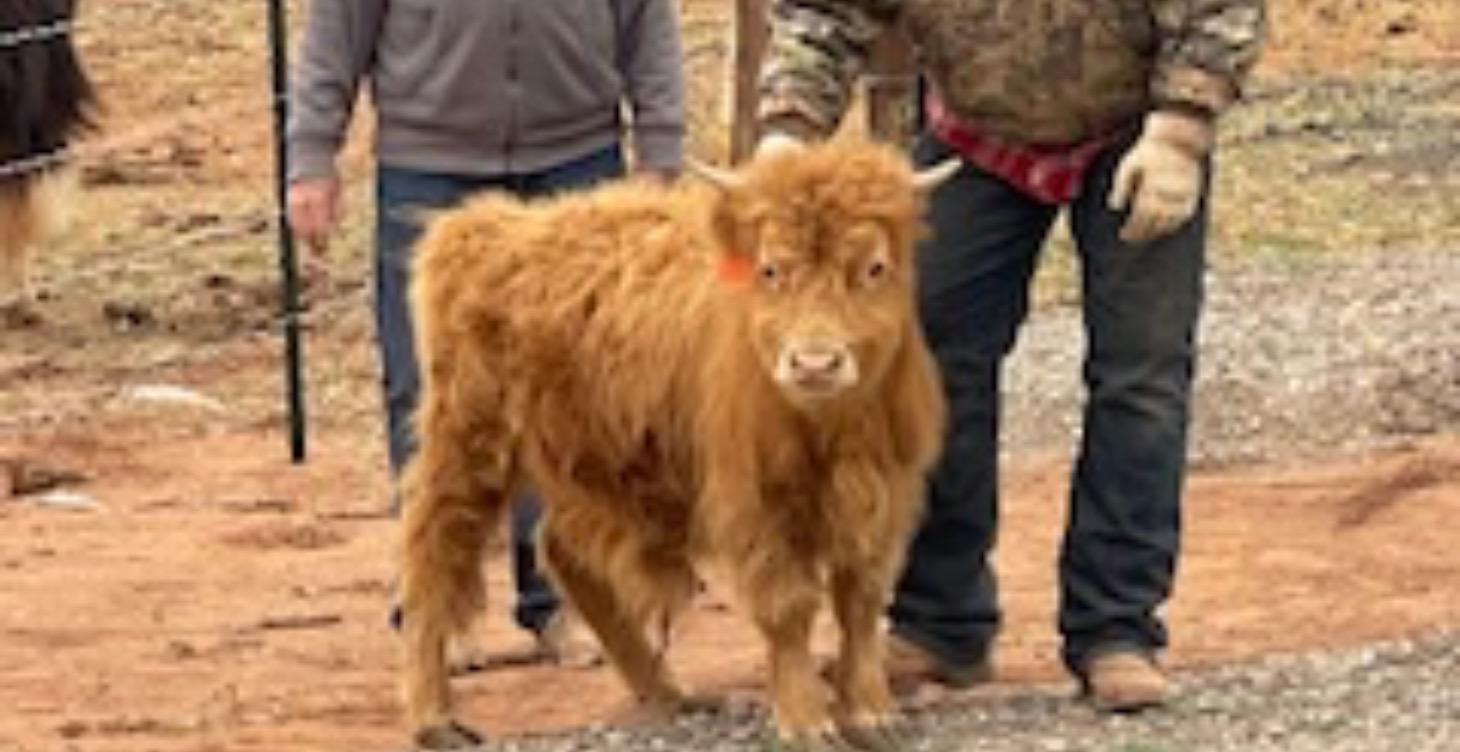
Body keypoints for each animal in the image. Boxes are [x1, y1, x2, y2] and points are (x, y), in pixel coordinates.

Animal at [397, 137, 960, 750]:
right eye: (771, 269)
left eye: (874, 268)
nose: (815, 363)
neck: (829, 430)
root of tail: (484, 226)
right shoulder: (757, 506)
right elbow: (789, 608)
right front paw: (807, 721)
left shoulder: (884, 497)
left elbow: (861, 603)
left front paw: (873, 712)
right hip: (468, 445)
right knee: (435, 557)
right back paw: (431, 716)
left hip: (592, 467)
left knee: (563, 550)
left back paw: (668, 692)